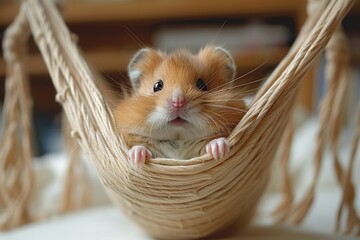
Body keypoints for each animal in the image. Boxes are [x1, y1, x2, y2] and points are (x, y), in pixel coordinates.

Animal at [114, 45, 249, 167]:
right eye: (157, 86)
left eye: (202, 85)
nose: (178, 103)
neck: (178, 139)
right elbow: (140, 146)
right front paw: (137, 158)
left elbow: (213, 140)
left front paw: (218, 150)